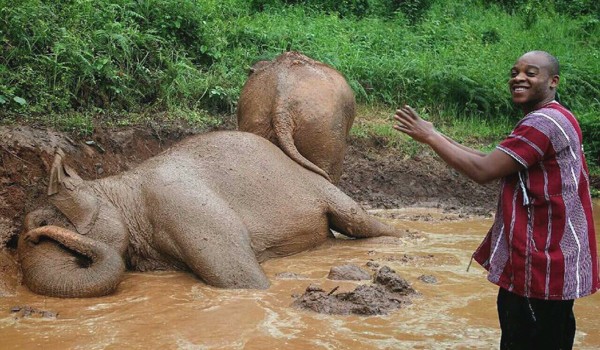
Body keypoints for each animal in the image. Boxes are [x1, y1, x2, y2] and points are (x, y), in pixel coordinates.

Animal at [17, 131, 404, 298]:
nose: (33, 233)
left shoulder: (184, 205)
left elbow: (242, 280)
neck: (122, 185)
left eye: (43, 225)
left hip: (320, 188)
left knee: (359, 221)